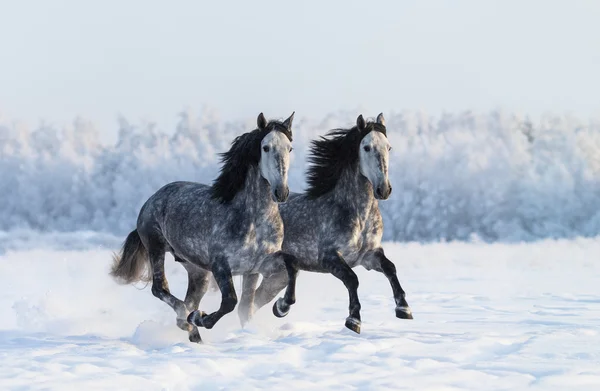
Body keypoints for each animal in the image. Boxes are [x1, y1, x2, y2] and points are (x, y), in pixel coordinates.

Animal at [110, 112, 298, 344]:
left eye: (290, 148)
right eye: (266, 147)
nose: (281, 192)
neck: (254, 220)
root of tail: (153, 198)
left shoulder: (255, 267)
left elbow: (280, 277)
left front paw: (280, 308)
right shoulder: (220, 264)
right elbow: (230, 301)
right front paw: (200, 318)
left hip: (197, 271)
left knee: (190, 298)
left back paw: (193, 333)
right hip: (156, 248)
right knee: (161, 289)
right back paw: (188, 319)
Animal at [237, 112, 414, 334]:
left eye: (388, 147)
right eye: (366, 147)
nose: (384, 189)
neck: (356, 214)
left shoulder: (369, 256)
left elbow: (390, 268)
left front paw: (404, 308)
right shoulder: (329, 258)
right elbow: (352, 279)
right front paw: (353, 320)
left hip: (278, 275)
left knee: (257, 300)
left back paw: (278, 308)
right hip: (255, 270)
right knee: (246, 303)